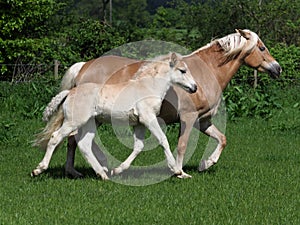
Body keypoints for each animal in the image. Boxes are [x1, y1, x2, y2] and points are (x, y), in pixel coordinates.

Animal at [32, 52, 197, 179]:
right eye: (182, 70)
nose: (194, 88)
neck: (148, 87)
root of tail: (70, 92)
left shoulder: (139, 123)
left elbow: (139, 146)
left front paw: (118, 170)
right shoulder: (148, 118)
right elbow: (163, 139)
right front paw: (177, 170)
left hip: (91, 123)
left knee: (84, 144)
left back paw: (103, 174)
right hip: (73, 121)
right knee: (56, 137)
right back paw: (39, 169)